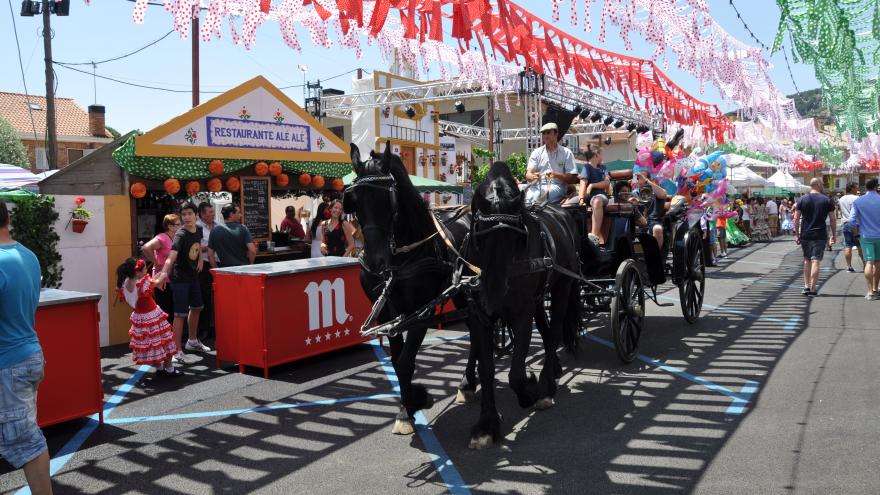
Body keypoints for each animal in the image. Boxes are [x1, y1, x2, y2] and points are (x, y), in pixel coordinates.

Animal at [344, 142, 488, 442]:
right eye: (354, 200)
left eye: (388, 200)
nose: (375, 261)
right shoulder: (390, 316)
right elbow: (397, 360)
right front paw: (409, 404)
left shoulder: (420, 313)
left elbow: (405, 362)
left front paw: (410, 406)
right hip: (462, 294)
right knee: (474, 331)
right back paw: (467, 383)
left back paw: (467, 383)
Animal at [468, 162, 584, 438]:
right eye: (482, 234)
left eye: (515, 236)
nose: (495, 294)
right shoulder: (479, 316)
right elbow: (486, 369)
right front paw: (486, 424)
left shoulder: (521, 313)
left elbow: (516, 375)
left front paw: (530, 392)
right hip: (539, 297)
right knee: (545, 327)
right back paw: (553, 369)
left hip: (562, 287)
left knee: (554, 332)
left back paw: (546, 386)